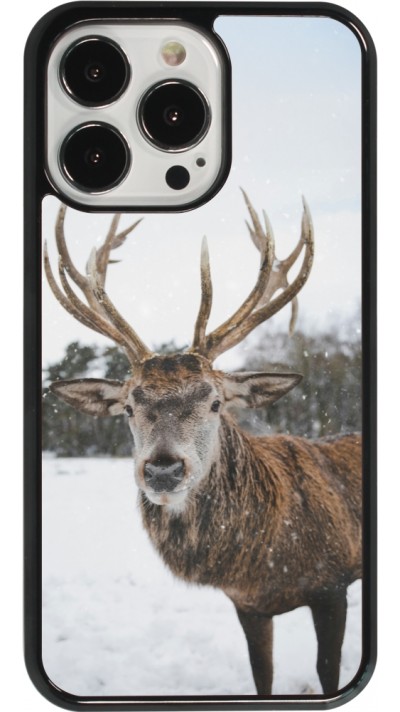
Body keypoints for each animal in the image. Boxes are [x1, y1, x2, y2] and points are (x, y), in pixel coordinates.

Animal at [44, 191, 362, 696]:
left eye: (215, 402)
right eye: (128, 407)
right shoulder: (247, 605)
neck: (265, 562)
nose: (163, 469)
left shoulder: (333, 584)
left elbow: (328, 672)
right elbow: (262, 677)